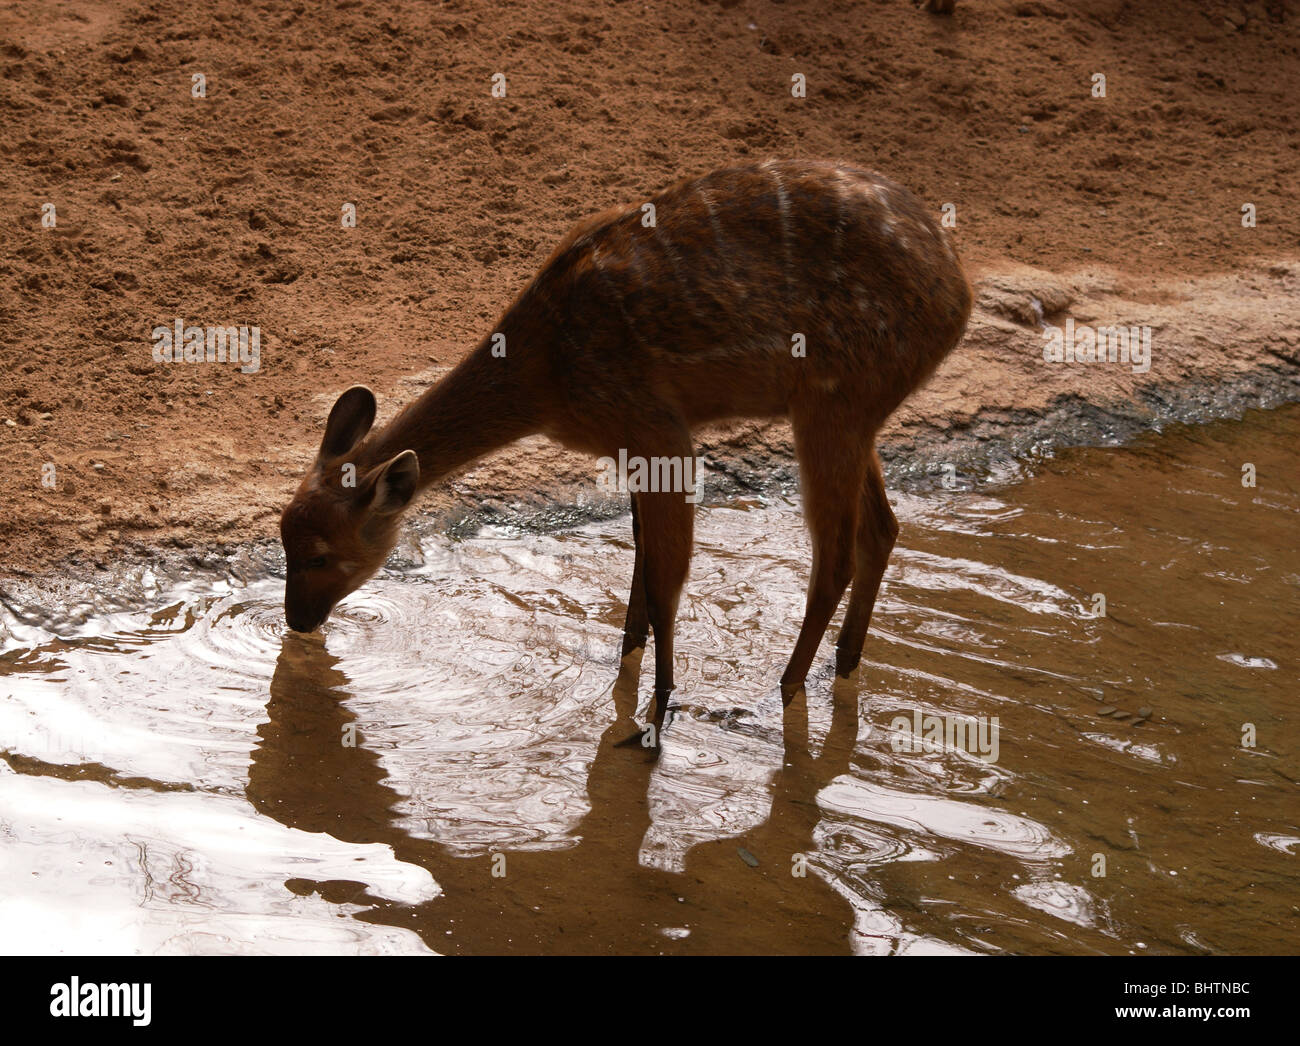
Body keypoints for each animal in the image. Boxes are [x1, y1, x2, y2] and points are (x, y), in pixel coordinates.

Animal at [279, 159, 972, 732]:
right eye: (283, 542)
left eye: (317, 555)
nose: (296, 620)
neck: (544, 378)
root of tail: (958, 295)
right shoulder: (628, 442)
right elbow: (641, 553)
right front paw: (626, 670)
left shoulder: (657, 426)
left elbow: (668, 571)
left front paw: (655, 717)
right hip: (854, 412)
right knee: (881, 529)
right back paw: (841, 670)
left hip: (833, 402)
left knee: (835, 555)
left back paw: (774, 694)